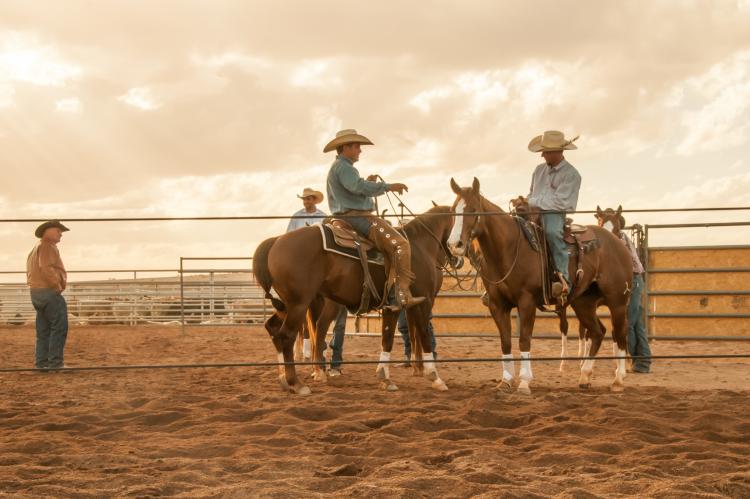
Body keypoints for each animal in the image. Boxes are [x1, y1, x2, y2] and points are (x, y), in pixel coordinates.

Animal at [253, 205, 456, 396]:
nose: (457, 256)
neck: (418, 246)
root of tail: (277, 240)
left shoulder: (397, 306)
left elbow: (389, 337)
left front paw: (387, 378)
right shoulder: (423, 301)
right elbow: (423, 334)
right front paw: (434, 376)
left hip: (287, 305)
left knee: (275, 329)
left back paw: (288, 378)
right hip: (299, 304)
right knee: (290, 335)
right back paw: (298, 382)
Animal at [450, 180, 636, 394]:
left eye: (473, 210)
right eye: (453, 210)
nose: (454, 244)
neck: (509, 249)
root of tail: (617, 243)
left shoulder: (527, 302)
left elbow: (524, 340)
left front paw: (524, 382)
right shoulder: (497, 305)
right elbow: (505, 342)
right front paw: (505, 381)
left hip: (618, 302)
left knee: (619, 334)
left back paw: (618, 379)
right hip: (584, 303)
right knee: (598, 332)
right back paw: (584, 376)